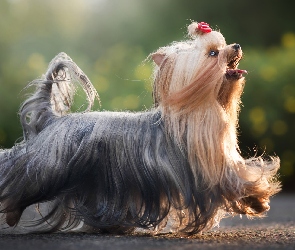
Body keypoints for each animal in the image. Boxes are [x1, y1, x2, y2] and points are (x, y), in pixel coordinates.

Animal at [0, 21, 280, 234]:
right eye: (213, 53)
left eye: (223, 46)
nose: (236, 46)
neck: (202, 106)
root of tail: (52, 119)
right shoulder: (209, 168)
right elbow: (235, 180)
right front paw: (258, 198)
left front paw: (258, 201)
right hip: (49, 166)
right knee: (18, 174)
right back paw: (12, 212)